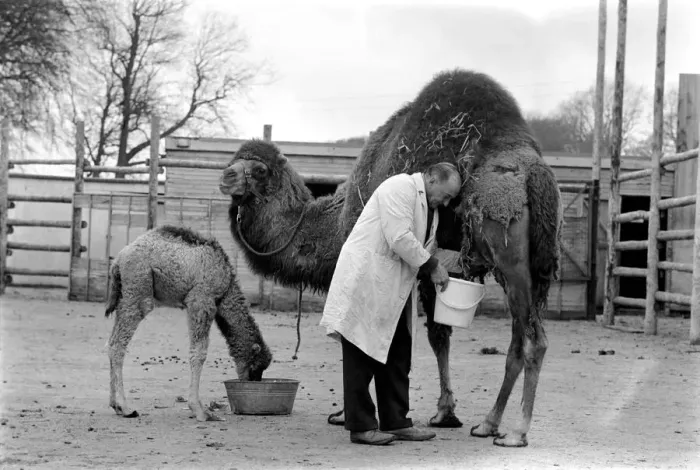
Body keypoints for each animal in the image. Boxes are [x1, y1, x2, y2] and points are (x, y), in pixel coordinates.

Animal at [218, 68, 562, 447]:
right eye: (232, 161)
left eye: (259, 170)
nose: (225, 176)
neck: (336, 221)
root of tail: (536, 174)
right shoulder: (432, 267)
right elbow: (438, 335)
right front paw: (445, 413)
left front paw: (343, 415)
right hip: (536, 266)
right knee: (519, 338)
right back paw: (488, 424)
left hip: (508, 255)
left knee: (534, 340)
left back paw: (515, 431)